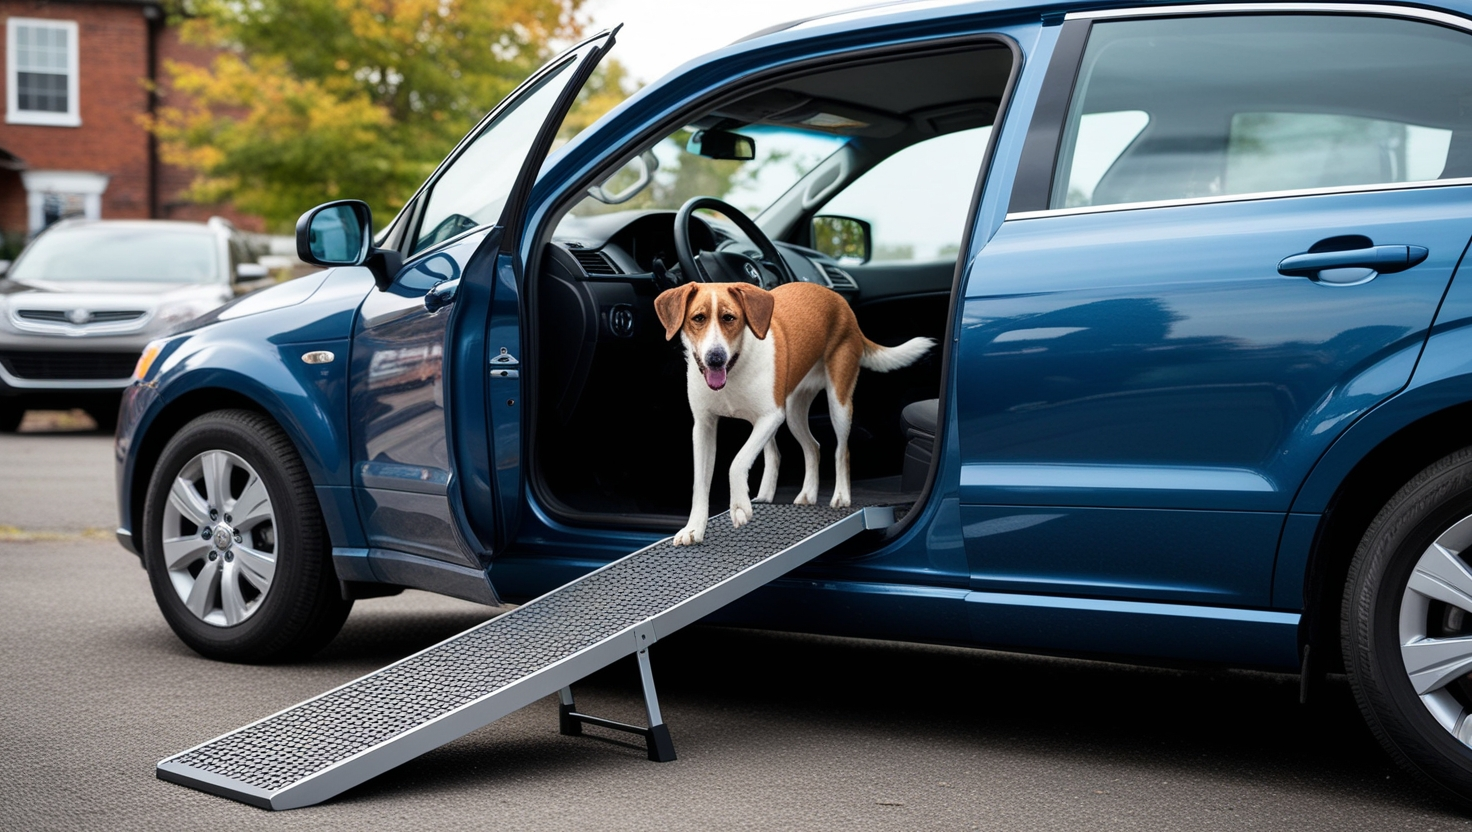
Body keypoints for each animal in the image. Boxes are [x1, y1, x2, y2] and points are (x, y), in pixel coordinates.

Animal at [656, 281, 930, 544]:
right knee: (810, 447)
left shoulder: (771, 416)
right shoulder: (704, 426)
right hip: (795, 412)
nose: (715, 358)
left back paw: (841, 494)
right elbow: (700, 484)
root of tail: (838, 300)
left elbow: (737, 462)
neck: (735, 367)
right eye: (698, 318)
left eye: (729, 318)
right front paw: (693, 529)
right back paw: (797, 493)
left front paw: (739, 507)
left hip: (838, 401)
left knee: (841, 450)